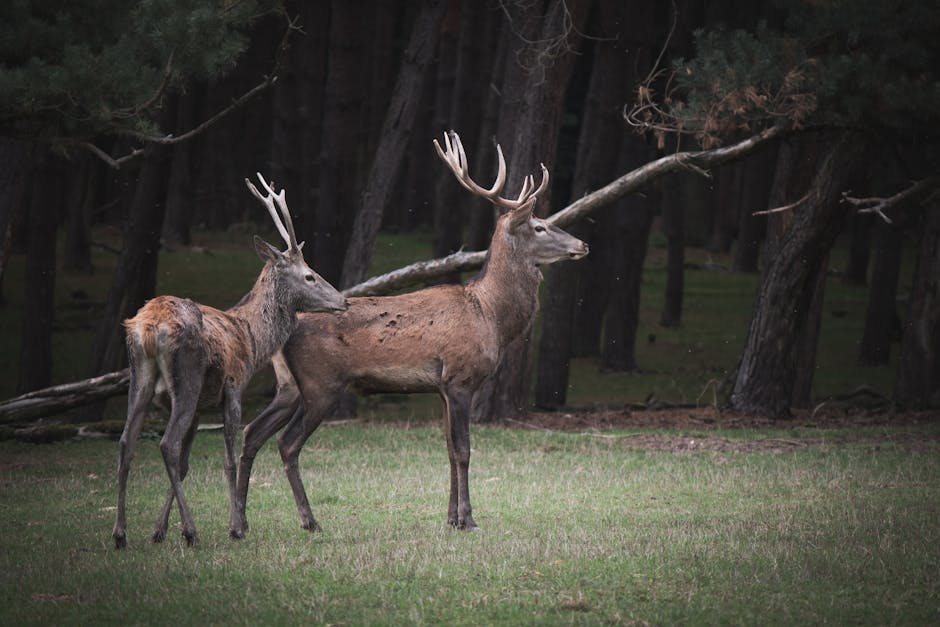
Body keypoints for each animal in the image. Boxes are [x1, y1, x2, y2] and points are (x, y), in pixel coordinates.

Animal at [110, 173, 346, 548]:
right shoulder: (233, 387)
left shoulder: (202, 406)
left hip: (140, 378)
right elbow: (228, 458)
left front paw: (159, 530)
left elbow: (186, 465)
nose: (343, 300)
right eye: (309, 275)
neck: (250, 338)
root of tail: (149, 327)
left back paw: (120, 533)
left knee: (126, 443)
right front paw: (236, 527)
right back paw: (192, 531)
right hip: (187, 377)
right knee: (166, 443)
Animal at [233, 132, 588, 536]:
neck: (491, 316)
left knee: (251, 432)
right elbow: (464, 450)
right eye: (539, 226)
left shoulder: (442, 387)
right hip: (321, 383)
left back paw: (241, 524)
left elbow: (448, 448)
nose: (582, 245)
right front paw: (469, 519)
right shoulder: (461, 378)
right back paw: (309, 521)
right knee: (287, 443)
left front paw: (451, 518)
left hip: (289, 385)